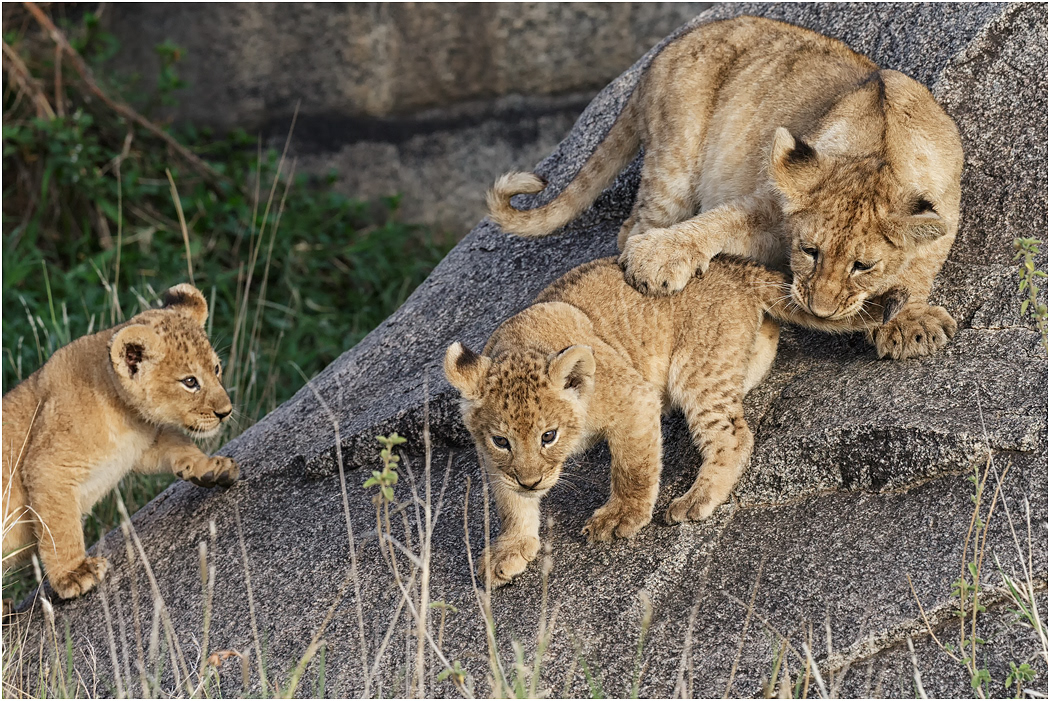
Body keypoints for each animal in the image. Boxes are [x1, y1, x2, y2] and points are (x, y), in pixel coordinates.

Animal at [2, 284, 239, 604]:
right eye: (190, 382)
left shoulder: (141, 445)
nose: (225, 412)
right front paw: (73, 573)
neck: (125, 413)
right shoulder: (47, 468)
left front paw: (211, 466)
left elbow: (178, 445)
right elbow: (59, 528)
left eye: (216, 369)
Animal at [445, 256, 906, 586]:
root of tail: (734, 266)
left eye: (548, 436)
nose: (531, 482)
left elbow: (632, 467)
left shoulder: (633, 398)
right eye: (502, 441)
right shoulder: (492, 459)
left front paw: (621, 517)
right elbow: (509, 505)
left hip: (697, 368)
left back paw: (696, 499)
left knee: (734, 436)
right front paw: (509, 549)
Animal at [488, 15, 962, 361]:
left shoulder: (946, 211)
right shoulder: (772, 205)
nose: (819, 310)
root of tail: (657, 56)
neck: (879, 149)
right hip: (675, 155)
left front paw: (910, 323)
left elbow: (920, 267)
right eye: (809, 251)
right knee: (636, 223)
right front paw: (659, 258)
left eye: (862, 266)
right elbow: (720, 221)